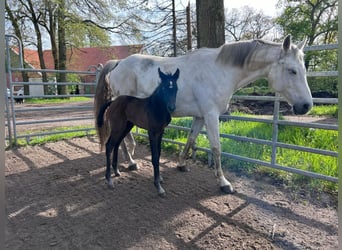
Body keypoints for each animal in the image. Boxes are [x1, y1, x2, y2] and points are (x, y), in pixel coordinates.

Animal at [94, 35, 312, 194]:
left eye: (303, 69)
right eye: (292, 71)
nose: (306, 106)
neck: (220, 70)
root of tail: (118, 63)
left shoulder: (200, 117)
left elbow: (191, 140)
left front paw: (182, 164)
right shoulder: (211, 115)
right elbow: (216, 148)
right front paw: (224, 182)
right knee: (121, 140)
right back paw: (130, 163)